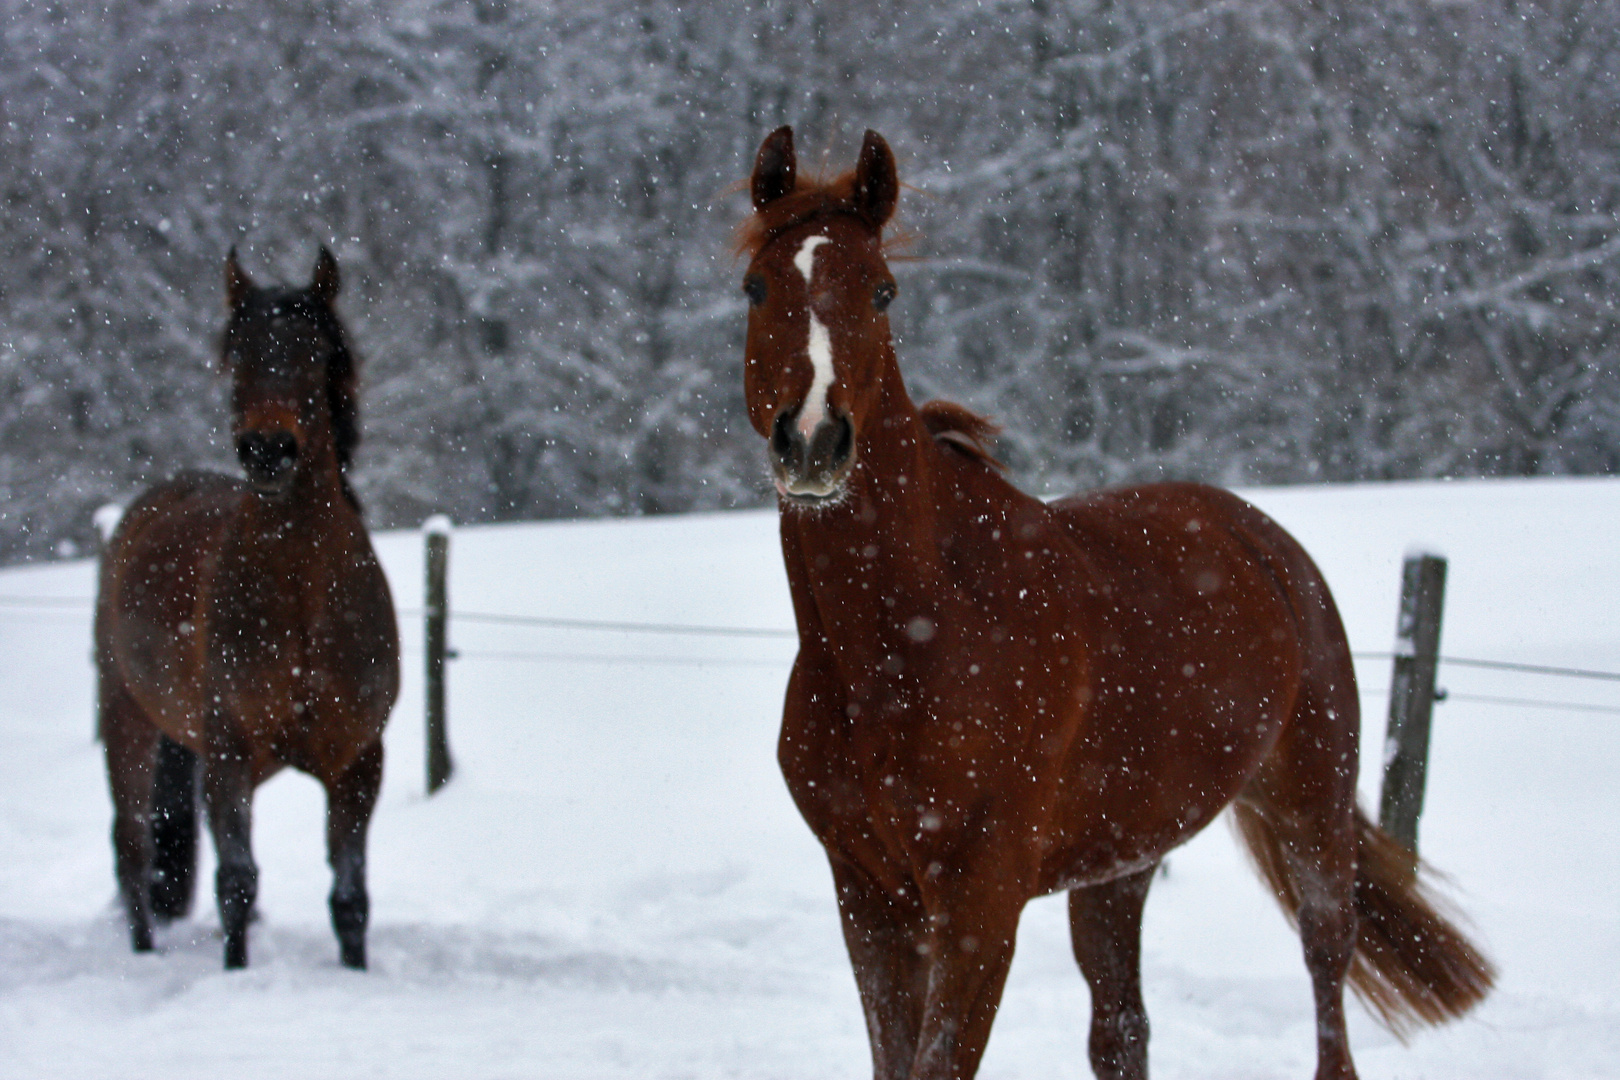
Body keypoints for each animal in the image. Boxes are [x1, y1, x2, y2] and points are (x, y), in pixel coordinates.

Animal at [94, 247, 398, 971]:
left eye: (315, 353)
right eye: (238, 354)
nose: (267, 449)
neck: (300, 599)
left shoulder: (358, 764)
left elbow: (350, 896)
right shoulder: (229, 754)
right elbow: (235, 882)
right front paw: (234, 975)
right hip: (126, 722)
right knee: (132, 849)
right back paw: (143, 954)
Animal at [735, 128, 1490, 1080]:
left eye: (881, 290)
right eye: (758, 287)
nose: (812, 442)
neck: (898, 642)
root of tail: (1270, 546)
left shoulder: (980, 905)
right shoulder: (868, 897)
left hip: (1310, 813)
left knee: (1329, 987)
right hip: (1119, 866)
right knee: (1122, 1031)